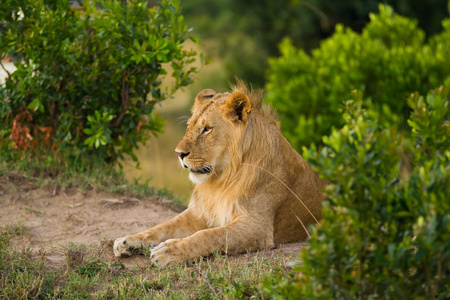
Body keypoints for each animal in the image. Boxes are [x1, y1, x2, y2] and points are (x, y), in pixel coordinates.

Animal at [114, 81, 326, 266]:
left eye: (207, 129)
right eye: (189, 126)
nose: (178, 153)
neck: (221, 179)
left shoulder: (256, 227)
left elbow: (208, 236)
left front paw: (169, 251)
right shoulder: (199, 212)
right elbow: (163, 226)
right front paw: (129, 240)